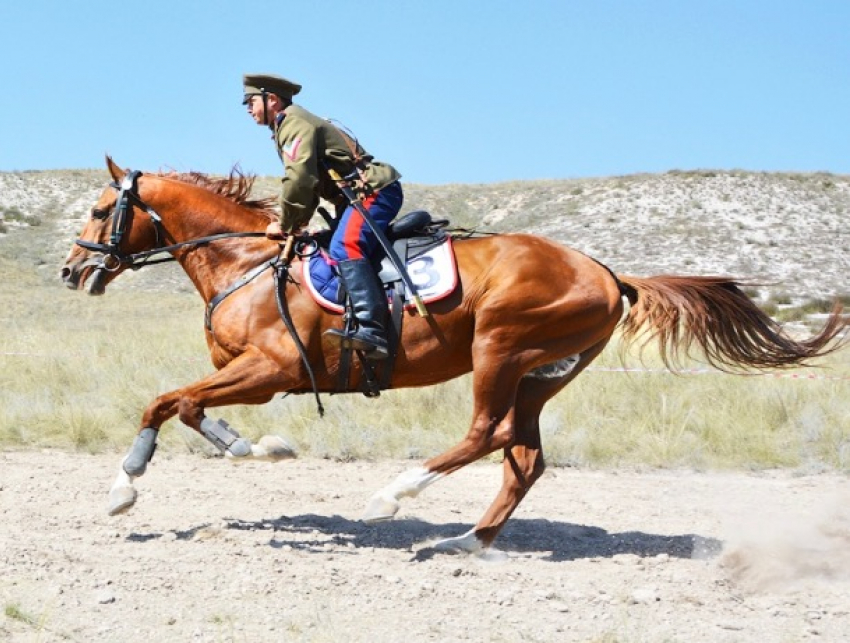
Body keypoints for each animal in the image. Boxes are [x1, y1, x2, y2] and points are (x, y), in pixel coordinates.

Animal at [61, 158, 848, 556]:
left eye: (101, 211)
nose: (71, 271)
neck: (248, 262)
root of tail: (608, 273)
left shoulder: (272, 372)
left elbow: (169, 399)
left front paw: (128, 484)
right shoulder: (245, 376)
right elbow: (186, 404)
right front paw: (241, 447)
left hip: (499, 346)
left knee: (486, 434)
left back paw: (396, 496)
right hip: (539, 372)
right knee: (523, 455)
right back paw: (468, 539)